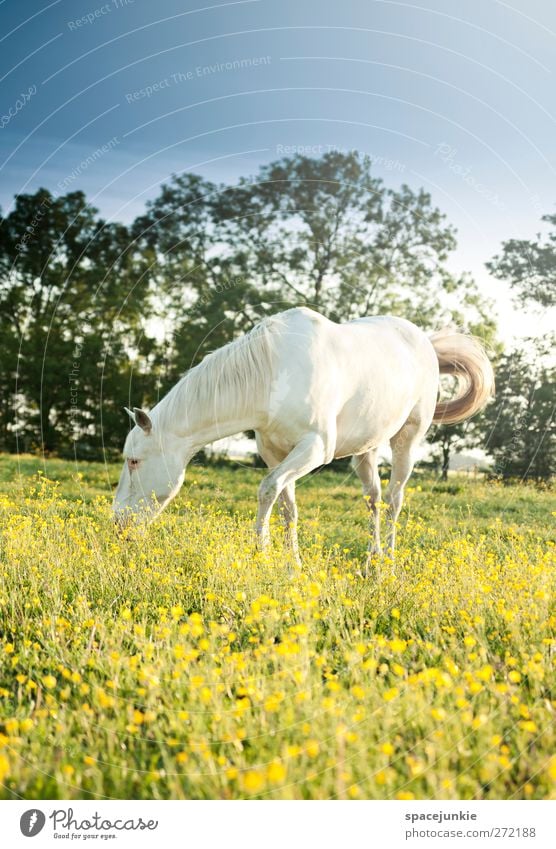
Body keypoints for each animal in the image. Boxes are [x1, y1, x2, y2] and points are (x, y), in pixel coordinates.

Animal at [113, 308, 496, 568]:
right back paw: (370, 562)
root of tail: (425, 343)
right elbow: (287, 506)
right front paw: (290, 563)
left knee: (394, 500)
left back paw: (387, 561)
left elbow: (267, 490)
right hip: (367, 448)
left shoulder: (315, 448)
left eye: (134, 461)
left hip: (408, 439)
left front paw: (261, 552)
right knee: (373, 499)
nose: (118, 525)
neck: (271, 372)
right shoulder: (274, 452)